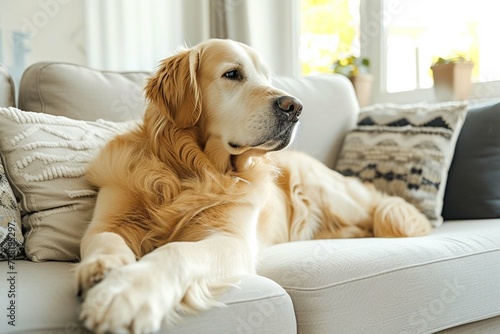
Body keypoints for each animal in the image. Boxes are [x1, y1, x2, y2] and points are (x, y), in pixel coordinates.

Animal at [75, 38, 430, 332]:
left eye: (268, 79)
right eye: (232, 74)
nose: (295, 106)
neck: (191, 169)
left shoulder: (230, 240)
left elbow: (175, 251)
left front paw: (125, 295)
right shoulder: (110, 218)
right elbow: (106, 239)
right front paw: (105, 270)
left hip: (331, 194)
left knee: (377, 206)